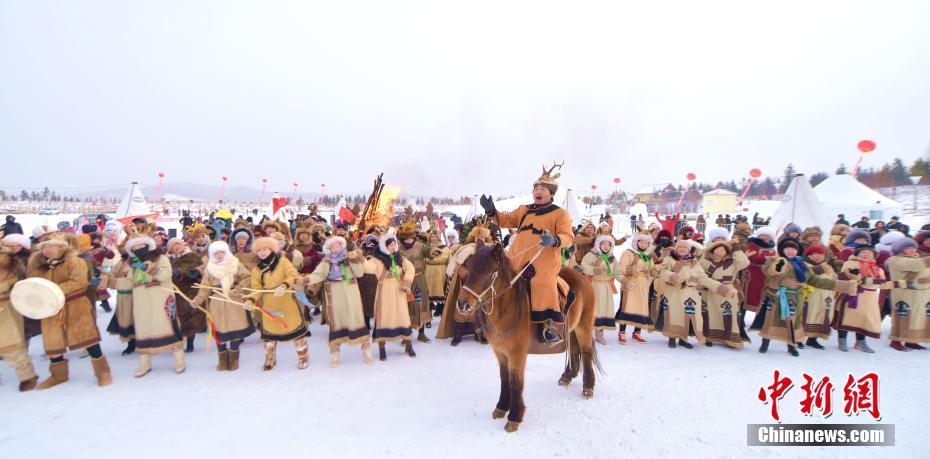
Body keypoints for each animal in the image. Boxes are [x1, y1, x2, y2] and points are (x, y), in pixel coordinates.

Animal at [454, 243, 600, 434]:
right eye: (468, 269)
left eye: (487, 272)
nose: (462, 304)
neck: (509, 308)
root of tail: (582, 277)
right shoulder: (500, 353)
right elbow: (504, 379)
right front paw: (501, 407)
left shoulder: (517, 354)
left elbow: (516, 382)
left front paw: (514, 417)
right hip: (572, 329)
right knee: (575, 350)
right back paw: (568, 376)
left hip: (584, 327)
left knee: (586, 353)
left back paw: (588, 387)